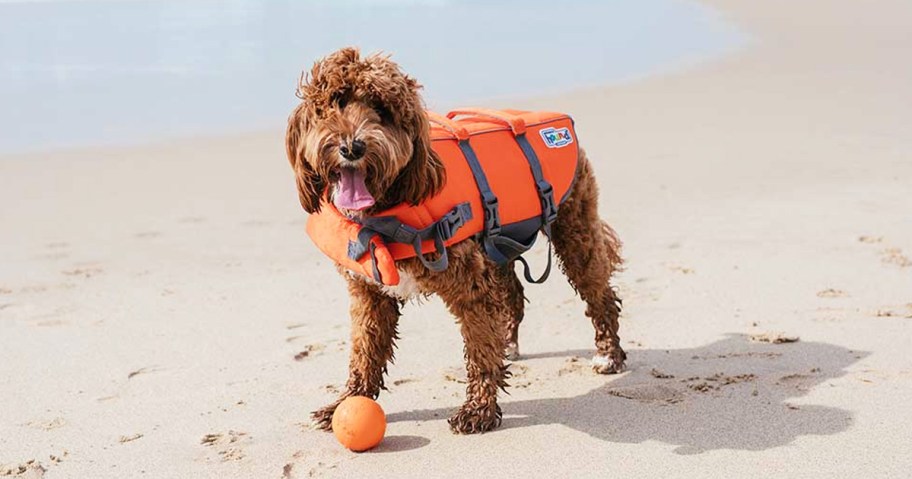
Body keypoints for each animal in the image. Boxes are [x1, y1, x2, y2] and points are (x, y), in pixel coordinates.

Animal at [286, 47, 628, 436]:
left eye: (383, 112)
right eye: (335, 103)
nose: (351, 147)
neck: (386, 210)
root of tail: (559, 123)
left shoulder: (471, 288)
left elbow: (479, 350)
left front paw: (479, 410)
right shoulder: (370, 296)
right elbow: (364, 352)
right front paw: (346, 402)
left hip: (575, 230)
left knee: (599, 293)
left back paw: (609, 354)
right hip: (497, 250)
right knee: (512, 296)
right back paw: (509, 344)